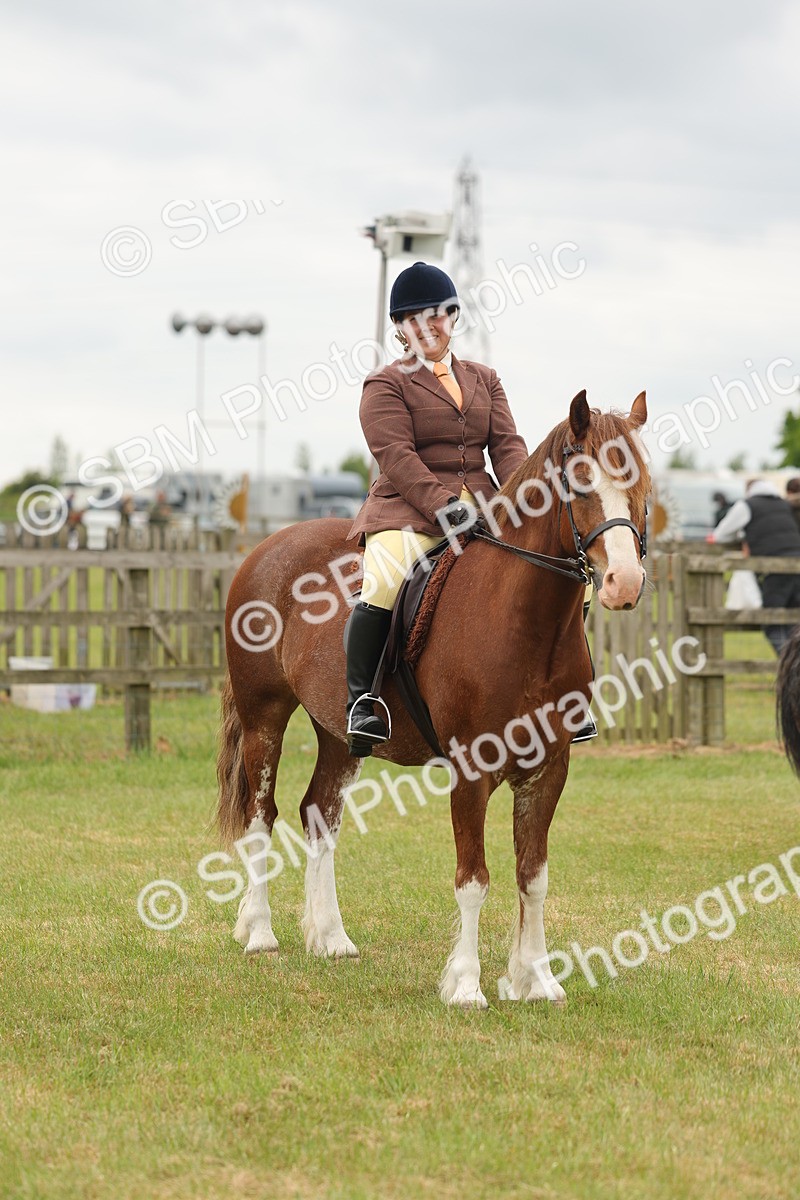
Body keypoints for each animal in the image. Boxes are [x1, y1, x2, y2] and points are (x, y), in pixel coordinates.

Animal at [216, 389, 650, 1008]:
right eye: (581, 483)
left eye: (643, 484)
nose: (624, 584)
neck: (525, 622)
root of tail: (267, 546)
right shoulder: (472, 768)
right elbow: (473, 879)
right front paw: (466, 985)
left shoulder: (549, 768)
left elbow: (533, 874)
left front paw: (536, 979)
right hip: (264, 719)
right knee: (261, 815)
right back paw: (258, 932)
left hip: (341, 735)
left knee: (320, 815)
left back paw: (330, 938)